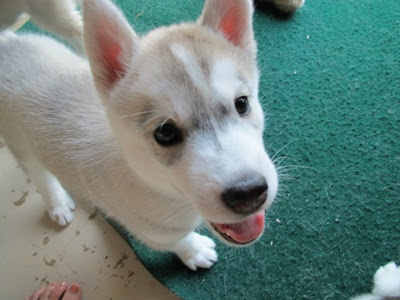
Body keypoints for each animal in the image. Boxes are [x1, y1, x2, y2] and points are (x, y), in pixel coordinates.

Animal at [0, 0, 278, 270]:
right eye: (165, 132)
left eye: (242, 103)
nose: (248, 192)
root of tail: (7, 43)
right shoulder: (154, 232)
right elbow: (178, 241)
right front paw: (195, 251)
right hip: (18, 140)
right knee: (39, 175)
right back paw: (57, 204)